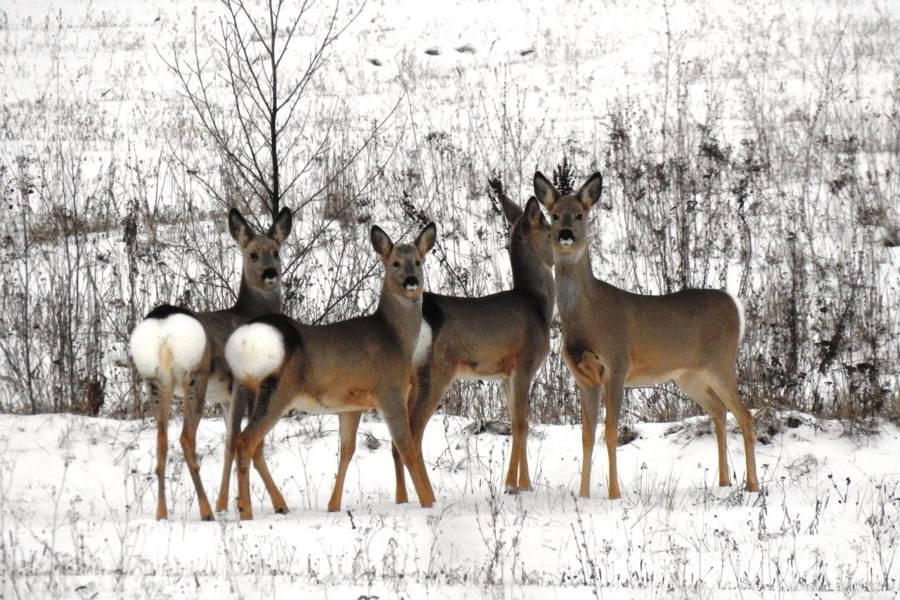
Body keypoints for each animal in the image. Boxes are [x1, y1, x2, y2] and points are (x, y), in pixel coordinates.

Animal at [132, 207, 292, 520]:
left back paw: (162, 513)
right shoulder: (241, 385)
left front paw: (225, 502)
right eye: (253, 254)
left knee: (161, 441)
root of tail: (163, 331)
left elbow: (230, 442)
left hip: (155, 382)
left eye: (276, 252)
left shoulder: (225, 397)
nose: (271, 273)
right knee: (185, 438)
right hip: (196, 375)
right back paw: (205, 511)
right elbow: (246, 441)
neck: (248, 315)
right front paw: (272, 504)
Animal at [223, 223, 438, 516]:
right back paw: (246, 512)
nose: (411, 281)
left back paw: (273, 506)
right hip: (279, 389)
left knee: (247, 443)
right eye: (395, 263)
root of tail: (245, 338)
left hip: (247, 388)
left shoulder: (352, 405)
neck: (395, 338)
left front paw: (333, 506)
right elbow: (408, 448)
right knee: (245, 442)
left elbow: (346, 451)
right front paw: (429, 503)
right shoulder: (389, 390)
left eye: (418, 261)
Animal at [536, 171, 760, 500]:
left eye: (580, 214)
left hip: (721, 363)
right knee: (719, 411)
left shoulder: (617, 364)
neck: (588, 316)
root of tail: (735, 305)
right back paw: (723, 482)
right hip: (689, 375)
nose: (565, 234)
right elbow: (587, 435)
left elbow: (610, 431)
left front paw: (614, 494)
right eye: (553, 215)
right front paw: (583, 494)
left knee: (744, 414)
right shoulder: (583, 377)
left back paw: (752, 485)